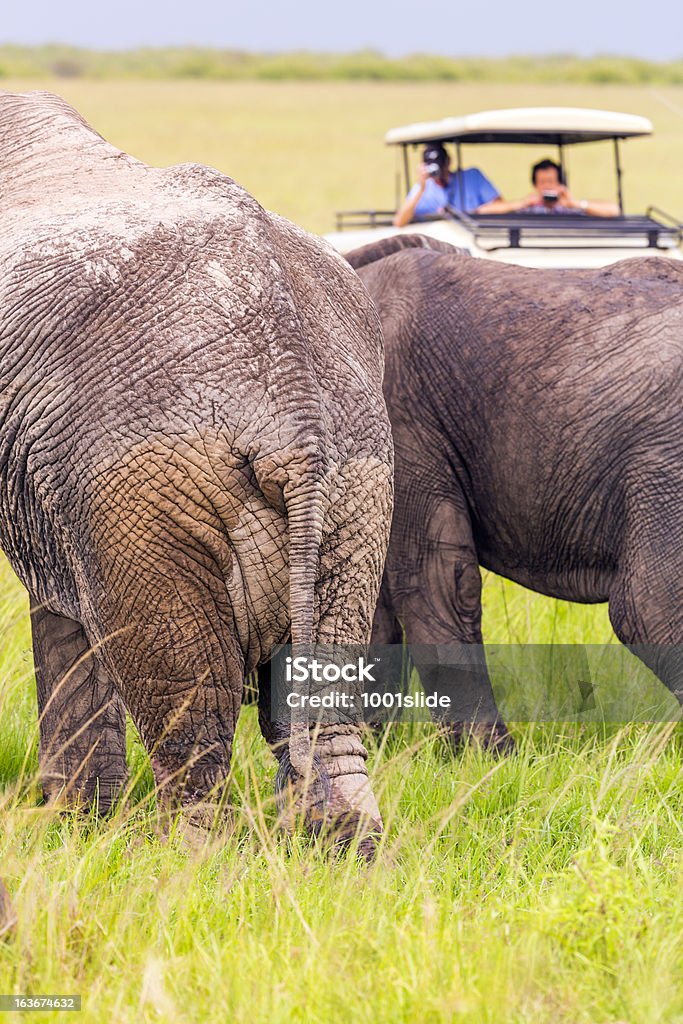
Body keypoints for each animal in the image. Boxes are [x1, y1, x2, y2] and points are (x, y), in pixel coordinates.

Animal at [0, 92, 393, 851]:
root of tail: (290, 393)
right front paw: (74, 822)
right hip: (358, 480)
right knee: (325, 693)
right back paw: (354, 854)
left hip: (142, 481)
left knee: (189, 702)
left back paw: (184, 860)